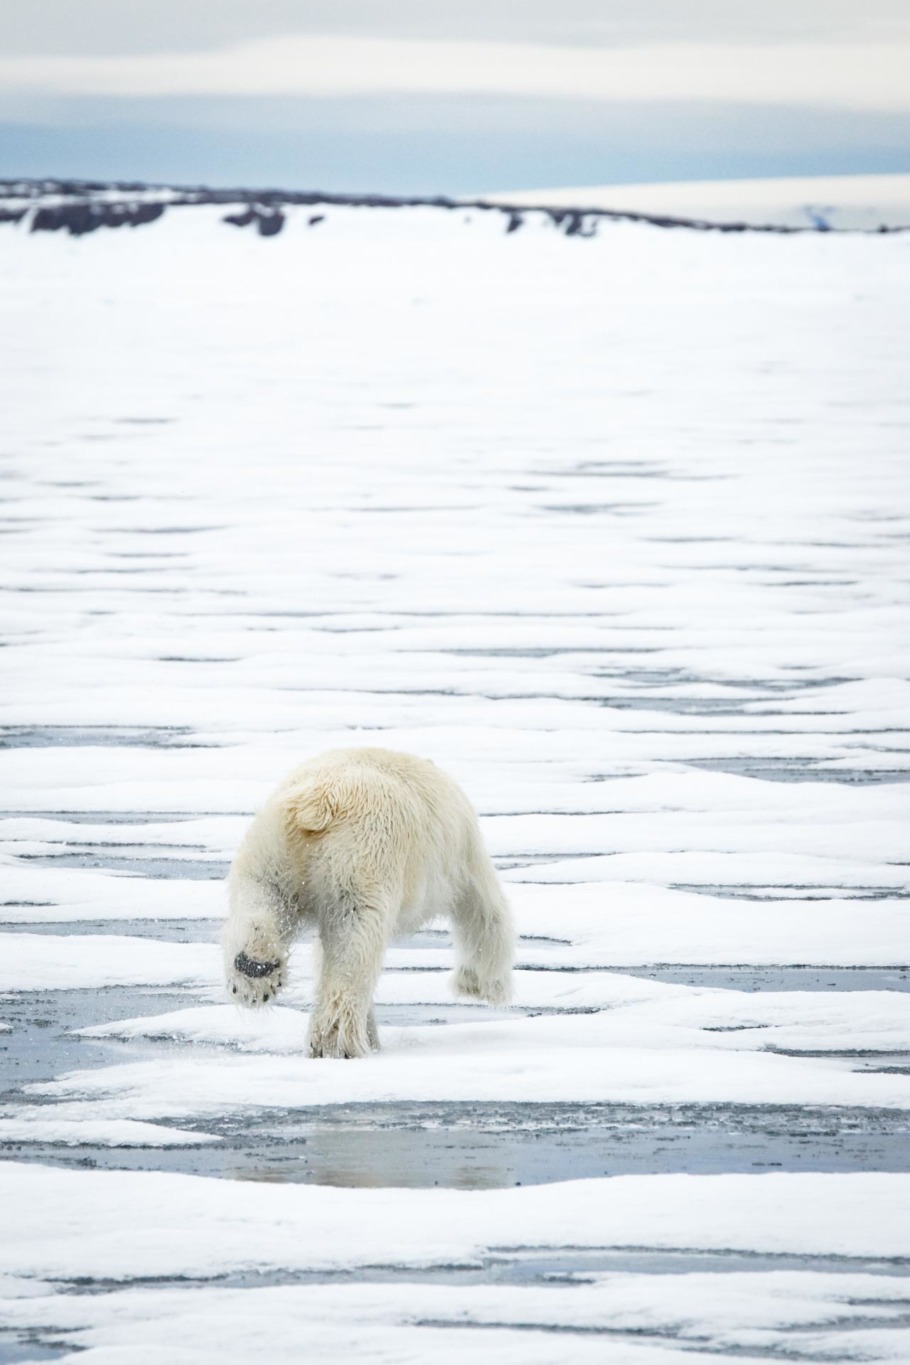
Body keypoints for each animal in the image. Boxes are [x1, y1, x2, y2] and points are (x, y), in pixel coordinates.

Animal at [222, 747, 514, 1058]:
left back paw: (255, 971)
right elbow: (485, 911)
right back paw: (340, 1043)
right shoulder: (462, 851)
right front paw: (484, 986)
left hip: (272, 849)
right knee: (354, 946)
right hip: (361, 863)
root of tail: (317, 806)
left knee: (262, 900)